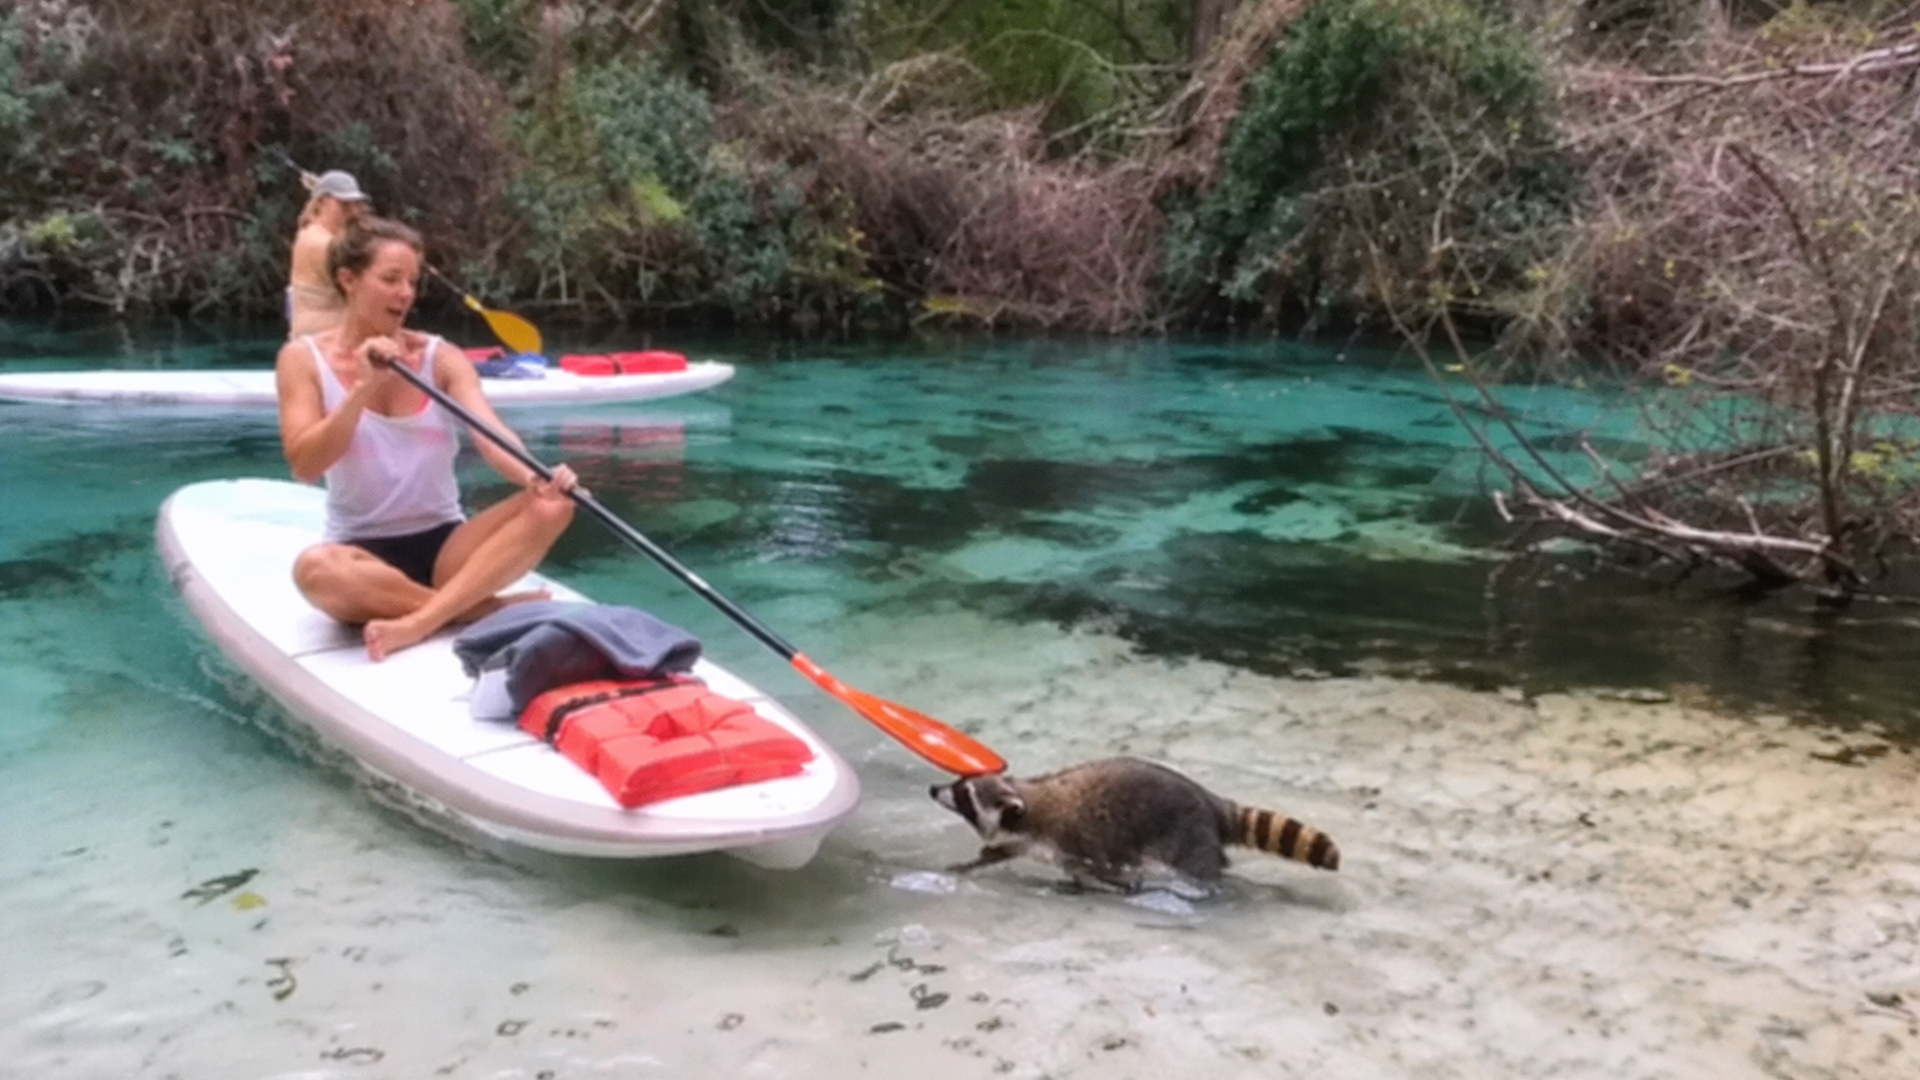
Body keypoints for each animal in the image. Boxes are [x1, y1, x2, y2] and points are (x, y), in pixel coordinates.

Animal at [930, 756, 1339, 891]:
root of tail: (1212, 802)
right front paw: (976, 861)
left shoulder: (1074, 838)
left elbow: (1093, 868)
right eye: (959, 782)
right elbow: (1003, 851)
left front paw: (1101, 884)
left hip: (1186, 836)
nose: (934, 789)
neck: (1029, 799)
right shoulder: (1029, 838)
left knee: (1195, 869)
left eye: (963, 793)